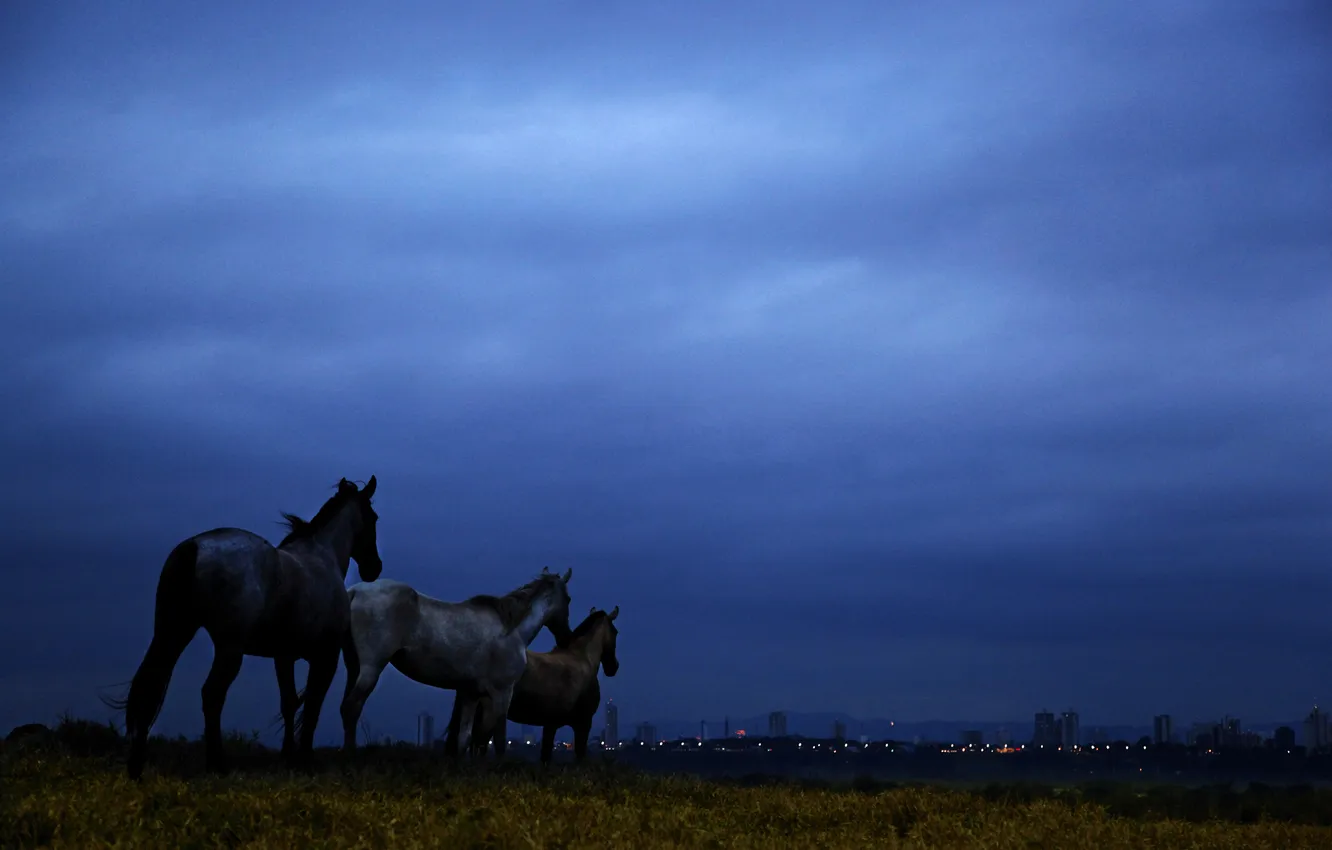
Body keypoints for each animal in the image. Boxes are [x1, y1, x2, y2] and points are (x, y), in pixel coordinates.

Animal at [105, 476, 382, 779]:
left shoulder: (284, 656)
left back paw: (136, 767)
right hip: (229, 649)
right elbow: (312, 706)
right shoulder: (325, 657)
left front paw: (289, 758)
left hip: (173, 634)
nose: (374, 568)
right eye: (373, 517)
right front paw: (305, 760)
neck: (321, 558)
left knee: (150, 686)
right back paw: (217, 764)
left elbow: (289, 703)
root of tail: (194, 547)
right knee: (212, 694)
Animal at [338, 566, 574, 757]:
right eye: (569, 599)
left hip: (354, 667)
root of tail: (355, 591)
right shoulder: (502, 694)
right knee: (352, 707)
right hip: (371, 668)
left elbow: (465, 738)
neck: (511, 631)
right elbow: (496, 740)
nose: (565, 637)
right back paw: (349, 755)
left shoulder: (471, 694)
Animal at [446, 605, 619, 764]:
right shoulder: (583, 724)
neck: (582, 661)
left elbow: (545, 757)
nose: (614, 667)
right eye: (615, 631)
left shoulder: (551, 724)